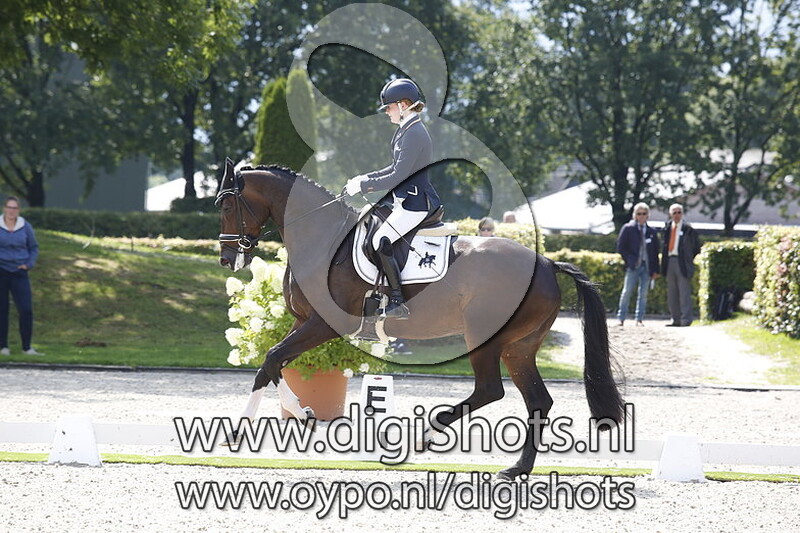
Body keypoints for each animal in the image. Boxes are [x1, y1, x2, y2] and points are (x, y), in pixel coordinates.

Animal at [216, 159, 624, 480]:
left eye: (226, 206)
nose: (225, 259)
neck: (322, 240)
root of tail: (546, 263)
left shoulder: (323, 324)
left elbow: (272, 359)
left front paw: (258, 426)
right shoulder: (304, 322)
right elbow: (271, 364)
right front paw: (294, 416)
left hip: (487, 338)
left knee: (490, 390)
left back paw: (421, 439)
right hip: (519, 347)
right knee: (537, 400)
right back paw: (516, 469)